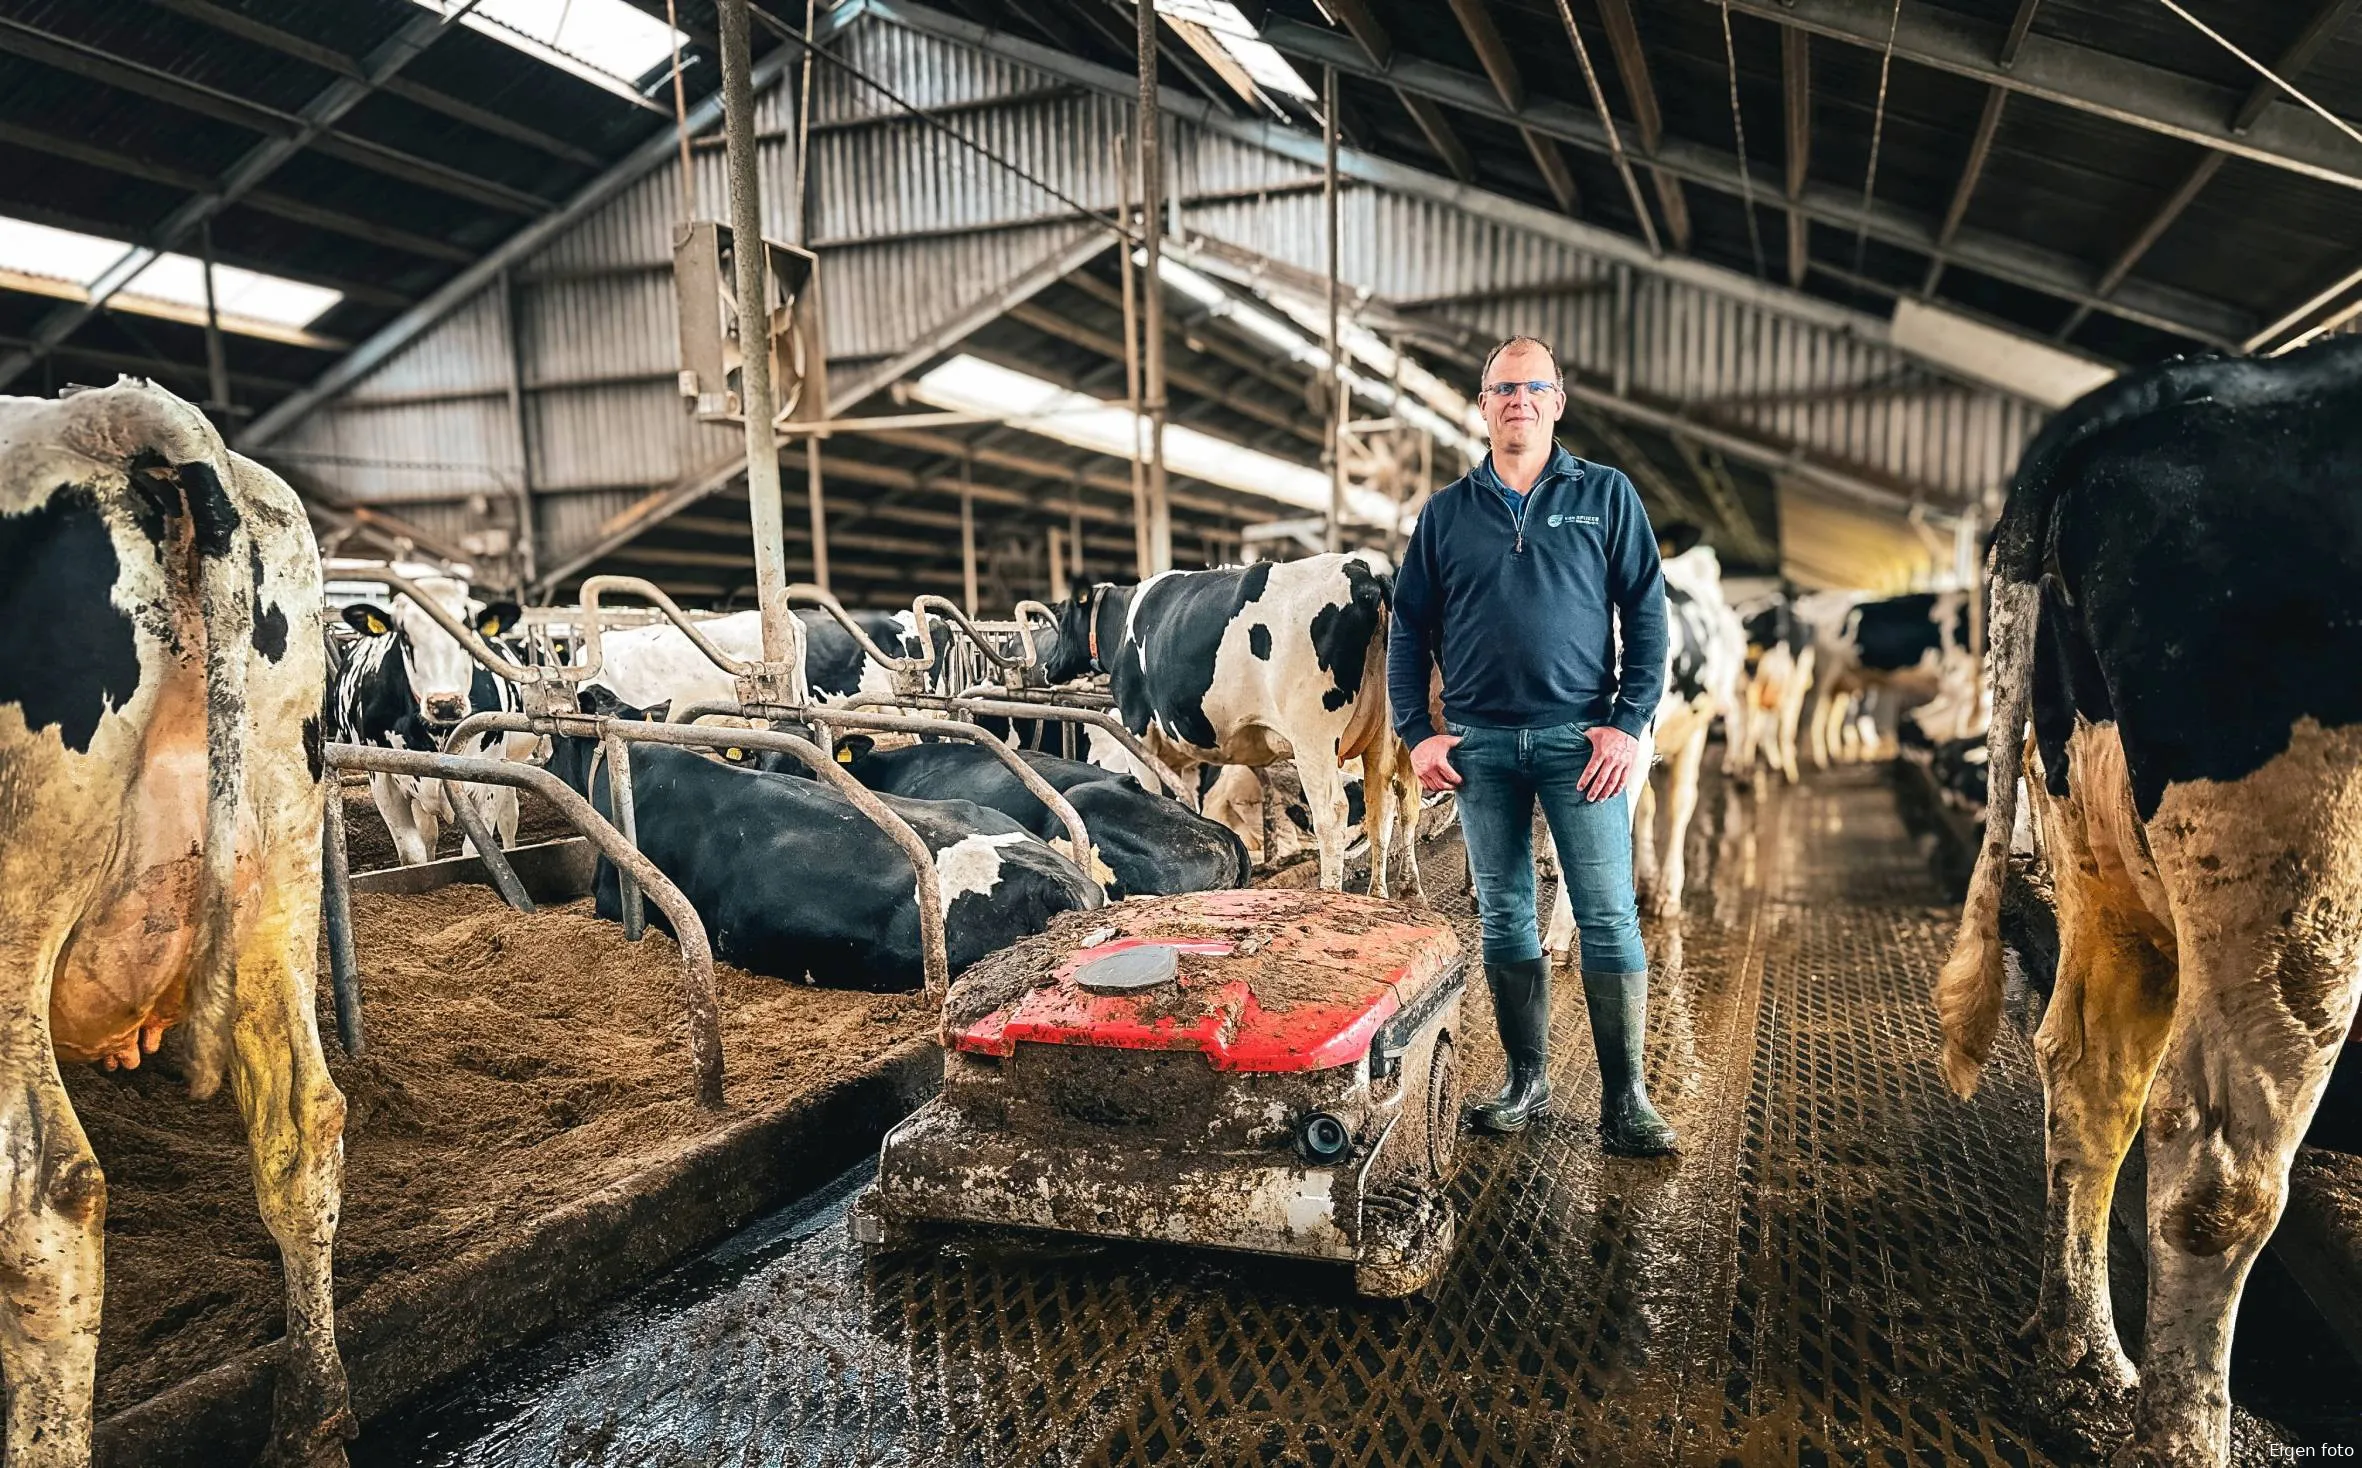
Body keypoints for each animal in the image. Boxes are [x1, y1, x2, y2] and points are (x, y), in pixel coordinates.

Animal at [333, 578, 531, 873]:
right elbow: (412, 855)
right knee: (429, 833)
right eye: (403, 635)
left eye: (468, 628)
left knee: (509, 817)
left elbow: (476, 848)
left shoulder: (489, 779)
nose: (445, 702)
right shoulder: (383, 781)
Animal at [1039, 552, 1407, 896]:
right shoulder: (1186, 750)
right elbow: (1190, 799)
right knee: (1382, 805)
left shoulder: (1137, 726)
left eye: (1063, 616)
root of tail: (1363, 572)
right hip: (1382, 734)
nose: (1046, 666)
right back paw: (1379, 894)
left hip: (1312, 738)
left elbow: (1154, 786)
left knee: (1331, 813)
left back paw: (1330, 891)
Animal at [1936, 342, 2362, 1468]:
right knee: (2217, 1165)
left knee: (2091, 1072)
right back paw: (2177, 1433)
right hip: (2293, 884)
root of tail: (2208, 372)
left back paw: (2084, 1353)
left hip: (2101, 839)